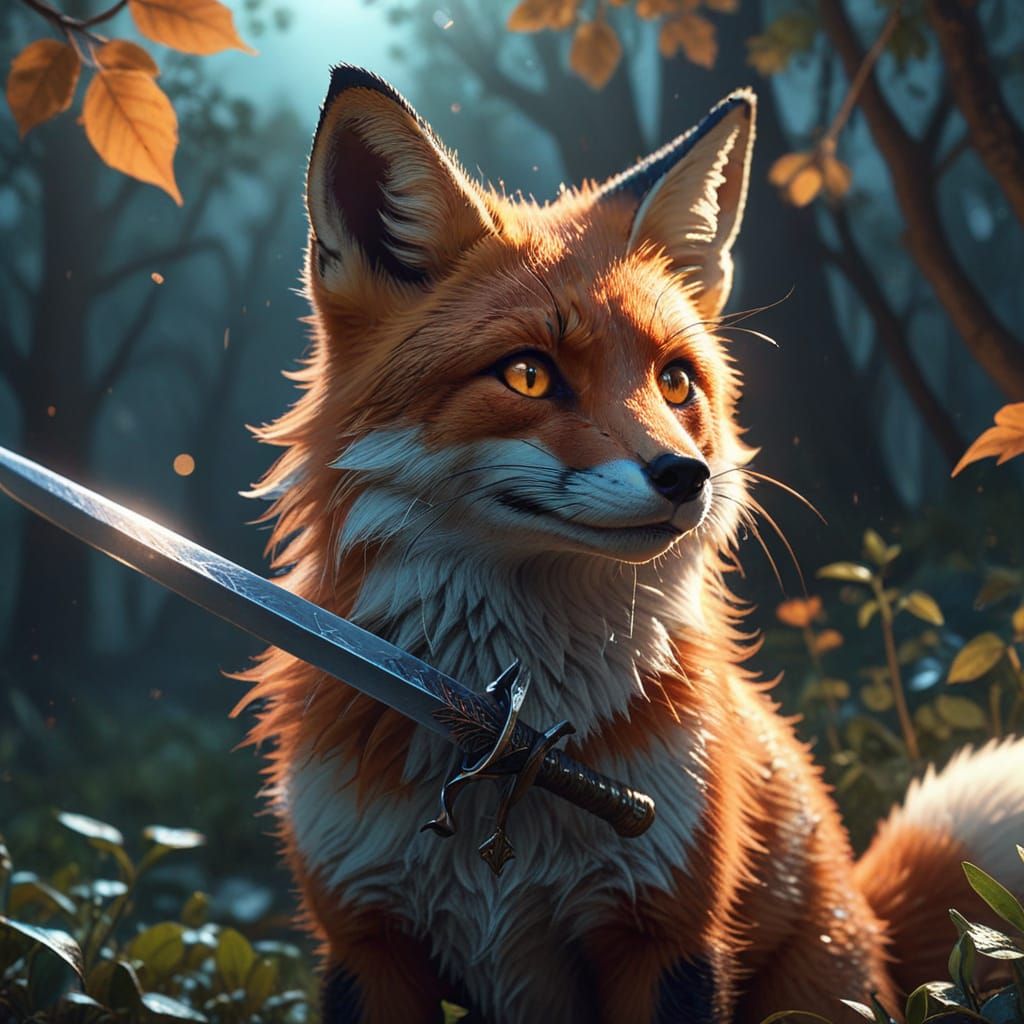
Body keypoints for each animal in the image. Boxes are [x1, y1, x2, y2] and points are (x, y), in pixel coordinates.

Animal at [236, 66, 1024, 1024]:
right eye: (528, 373)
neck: (509, 746)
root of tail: (866, 920)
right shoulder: (367, 939)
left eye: (676, 381)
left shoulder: (664, 934)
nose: (688, 475)